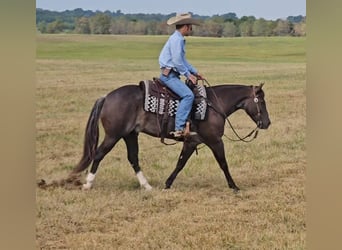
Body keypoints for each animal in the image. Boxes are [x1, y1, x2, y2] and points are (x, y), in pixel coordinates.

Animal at [66, 80, 270, 191]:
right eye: (261, 101)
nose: (267, 123)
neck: (214, 104)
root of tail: (106, 97)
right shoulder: (215, 141)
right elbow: (223, 164)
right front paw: (234, 186)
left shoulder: (191, 142)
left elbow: (180, 163)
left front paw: (167, 184)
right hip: (113, 136)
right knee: (99, 154)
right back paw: (88, 184)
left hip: (130, 135)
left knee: (133, 158)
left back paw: (147, 186)